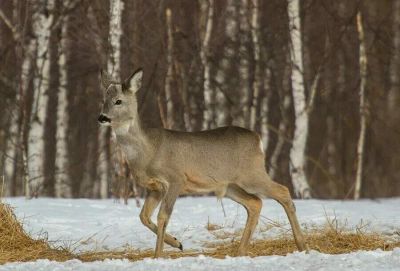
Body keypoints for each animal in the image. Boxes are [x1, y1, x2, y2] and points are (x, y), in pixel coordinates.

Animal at [98, 69, 308, 258]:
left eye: (118, 101)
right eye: (103, 100)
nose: (102, 117)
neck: (148, 151)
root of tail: (258, 139)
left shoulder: (176, 179)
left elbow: (163, 216)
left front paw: (158, 255)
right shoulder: (154, 187)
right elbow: (143, 216)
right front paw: (177, 243)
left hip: (252, 174)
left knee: (283, 191)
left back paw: (302, 245)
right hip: (230, 185)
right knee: (255, 202)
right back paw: (240, 252)